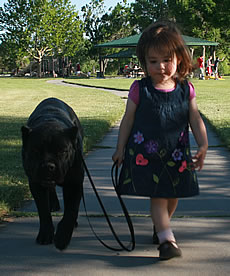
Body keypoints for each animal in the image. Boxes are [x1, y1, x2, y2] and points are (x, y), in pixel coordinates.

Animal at [21, 97, 84, 250]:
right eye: (35, 151)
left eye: (62, 151)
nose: (48, 166)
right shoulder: (35, 183)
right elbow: (43, 210)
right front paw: (45, 235)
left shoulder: (75, 183)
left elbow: (71, 210)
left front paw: (62, 237)